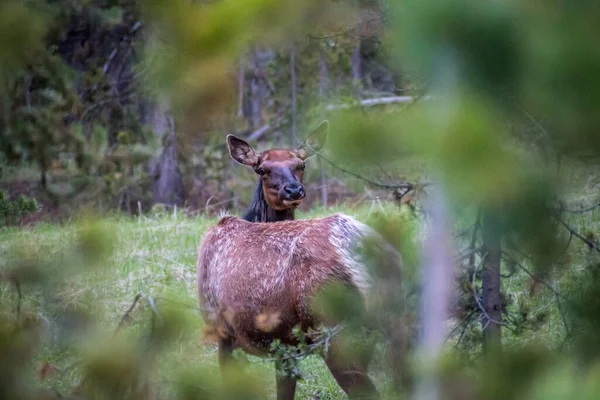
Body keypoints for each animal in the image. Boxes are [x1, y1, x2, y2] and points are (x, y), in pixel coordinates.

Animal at [199, 122, 406, 400]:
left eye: (301, 164)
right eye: (262, 169)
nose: (293, 190)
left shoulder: (222, 329)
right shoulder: (285, 347)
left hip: (334, 329)